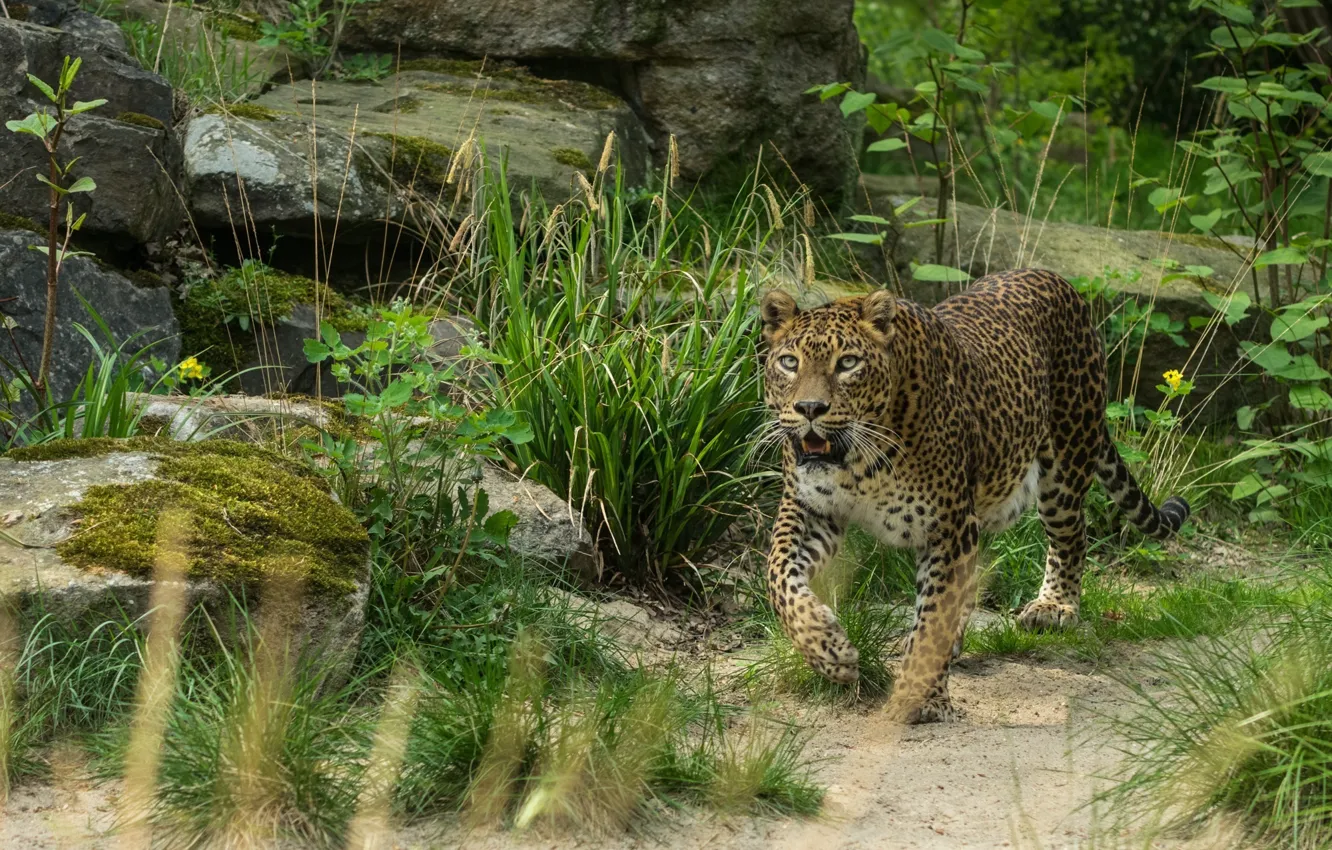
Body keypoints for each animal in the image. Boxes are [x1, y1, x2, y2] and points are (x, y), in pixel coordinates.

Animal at [759, 268, 1190, 723]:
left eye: (847, 363)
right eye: (789, 362)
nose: (809, 408)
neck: (858, 462)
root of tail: (1053, 277)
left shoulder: (948, 525)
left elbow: (932, 617)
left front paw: (922, 698)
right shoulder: (808, 508)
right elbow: (778, 575)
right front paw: (828, 651)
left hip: (1066, 463)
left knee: (1072, 536)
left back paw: (1055, 607)